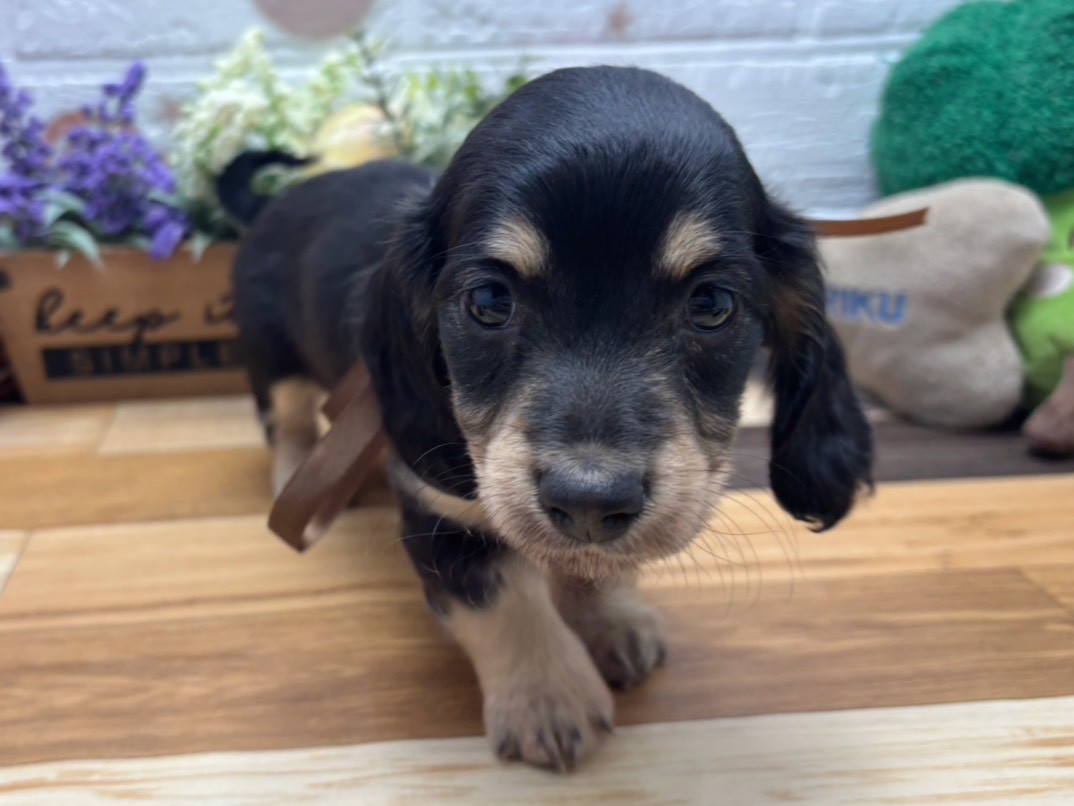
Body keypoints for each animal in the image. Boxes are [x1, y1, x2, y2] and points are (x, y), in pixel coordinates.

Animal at [224, 66, 873, 772]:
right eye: (488, 300)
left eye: (711, 304)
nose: (589, 499)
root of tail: (276, 202)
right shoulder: (442, 519)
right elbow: (506, 605)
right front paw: (548, 699)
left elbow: (593, 567)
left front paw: (610, 620)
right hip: (273, 360)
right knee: (286, 424)